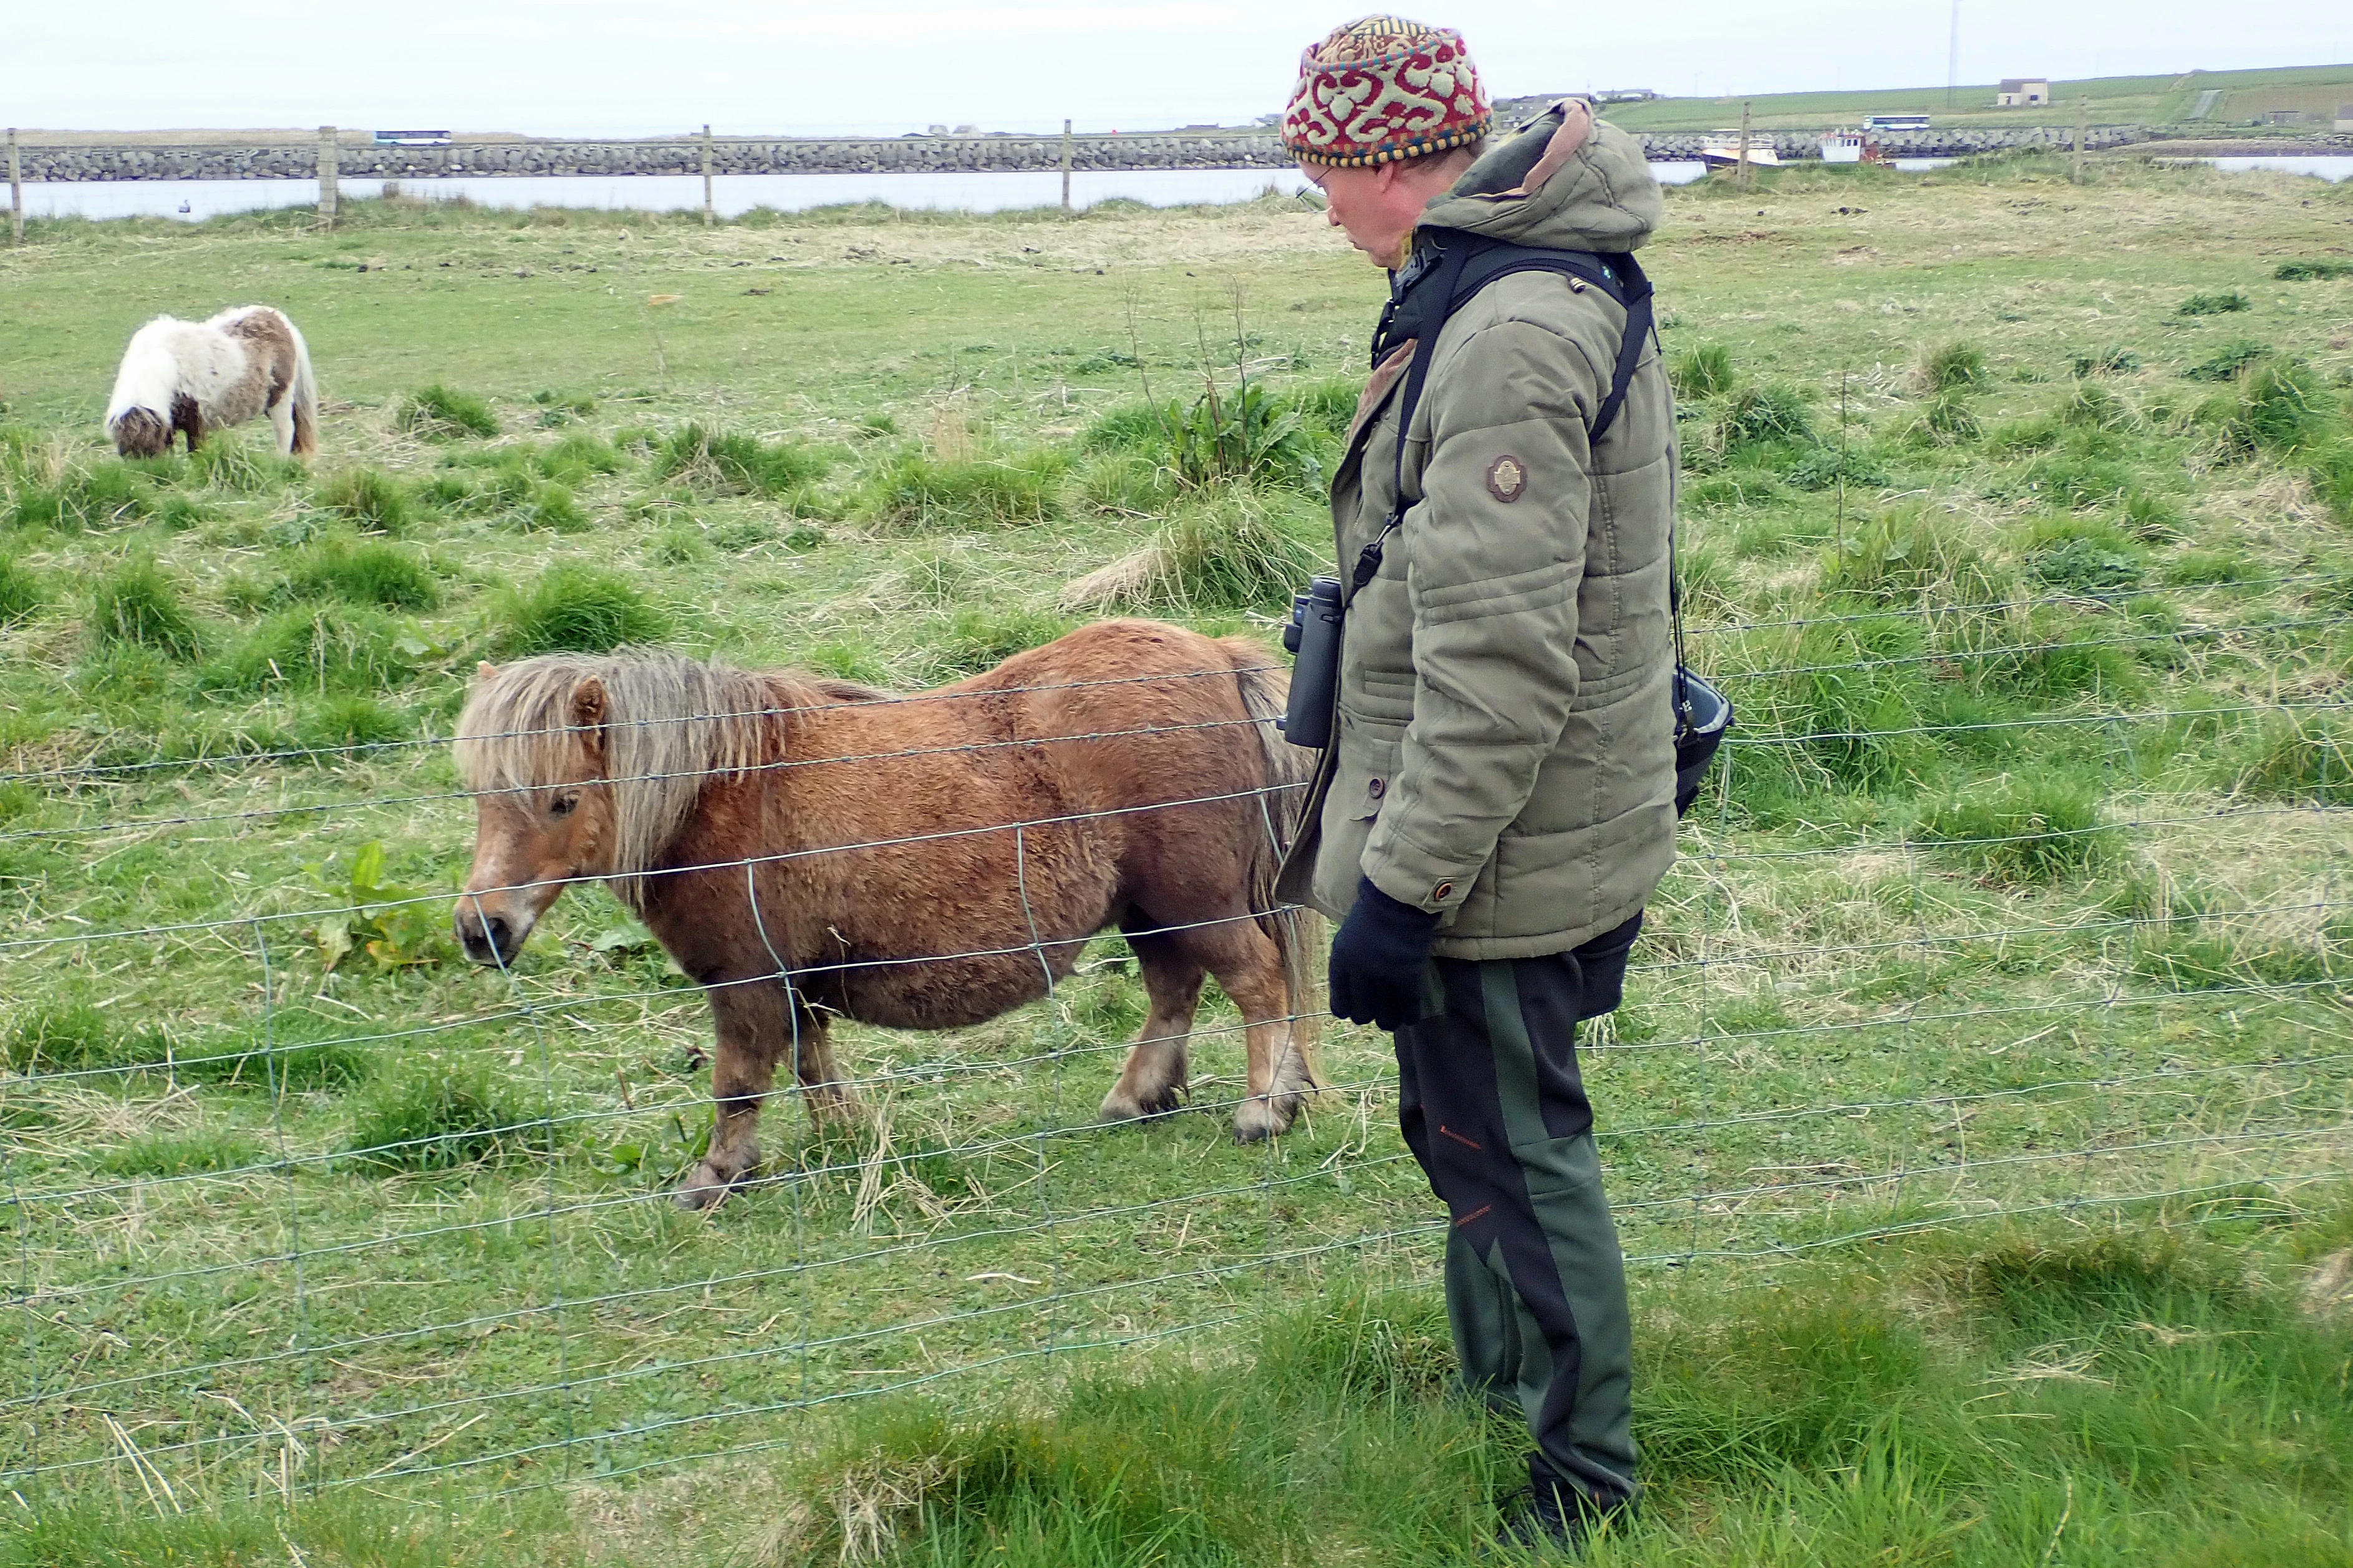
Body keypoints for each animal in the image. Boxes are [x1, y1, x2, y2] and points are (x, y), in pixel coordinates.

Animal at [105, 306, 320, 460]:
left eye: (150, 449)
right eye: (126, 453)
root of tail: (280, 320)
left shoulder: (196, 420)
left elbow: (196, 452)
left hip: (280, 401)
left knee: (286, 432)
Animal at [450, 620, 1324, 1209]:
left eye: (561, 800)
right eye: (479, 795)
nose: (480, 930)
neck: (723, 793)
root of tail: (1215, 656)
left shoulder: (746, 982)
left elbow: (738, 1084)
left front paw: (716, 1176)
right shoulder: (795, 983)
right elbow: (813, 1067)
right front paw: (842, 1142)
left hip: (1195, 903)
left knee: (1256, 983)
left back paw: (1263, 1108)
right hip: (1149, 911)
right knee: (1174, 990)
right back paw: (1138, 1097)